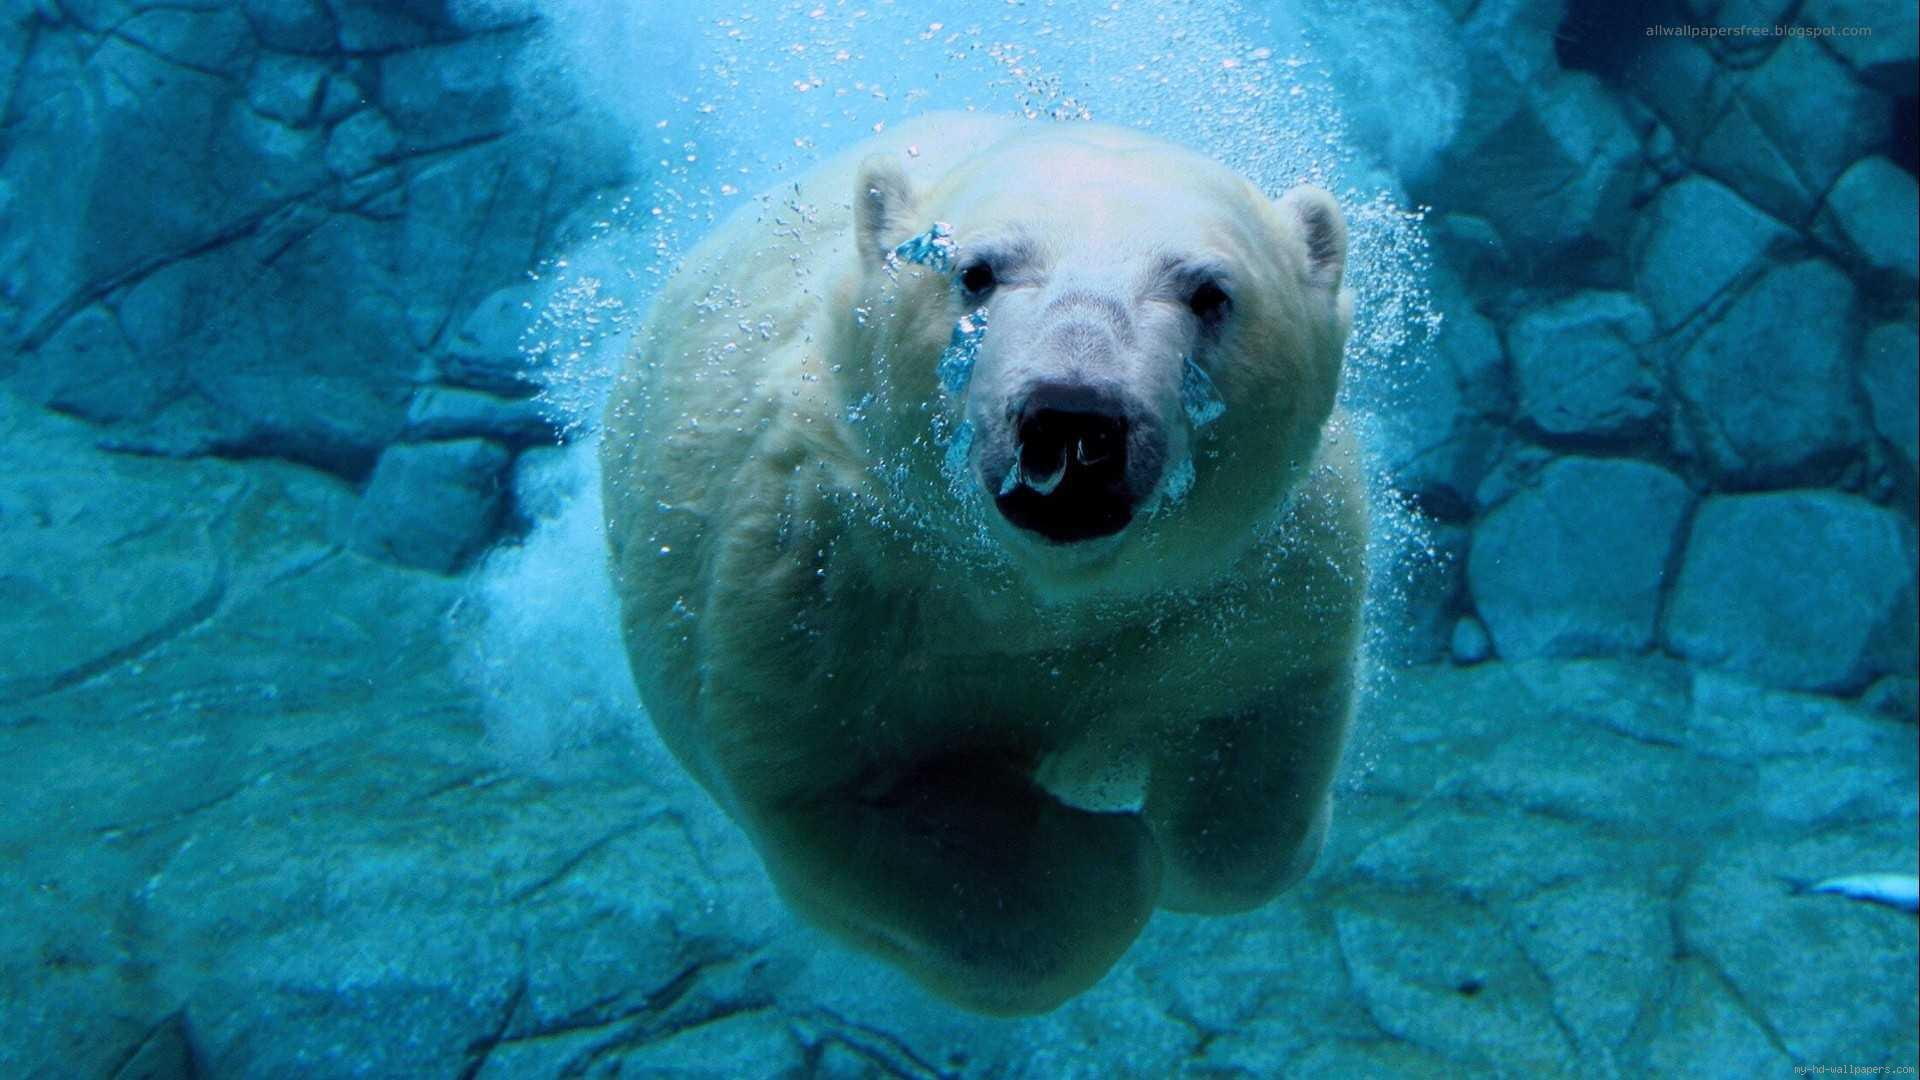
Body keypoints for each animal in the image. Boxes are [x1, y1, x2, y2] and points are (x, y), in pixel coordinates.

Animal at [601, 113, 1364, 1015]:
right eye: (976, 272)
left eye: (1210, 292)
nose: (1074, 418)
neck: (1038, 593)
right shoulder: (821, 584)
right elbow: (851, 797)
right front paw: (1110, 856)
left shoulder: (1252, 576)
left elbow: (1257, 736)